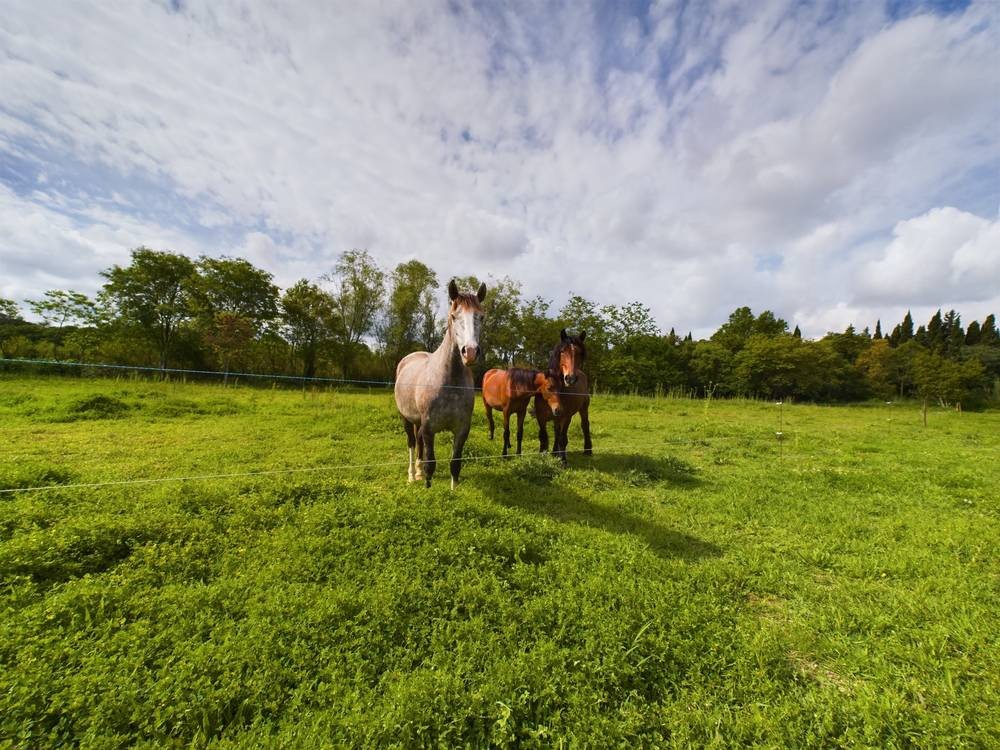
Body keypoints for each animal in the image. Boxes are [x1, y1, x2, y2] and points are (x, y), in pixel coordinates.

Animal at [392, 280, 486, 490]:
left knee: (418, 442)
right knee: (412, 443)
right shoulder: (429, 428)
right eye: (453, 316)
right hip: (406, 418)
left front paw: (453, 491)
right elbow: (431, 464)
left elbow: (455, 464)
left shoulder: (462, 429)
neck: (450, 384)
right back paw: (412, 476)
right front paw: (427, 488)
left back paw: (417, 473)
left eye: (481, 317)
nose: (470, 352)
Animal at [536, 328, 588, 464]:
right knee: (556, 431)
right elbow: (543, 437)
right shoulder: (541, 417)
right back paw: (554, 453)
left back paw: (588, 451)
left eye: (580, 353)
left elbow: (563, 438)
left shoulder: (566, 417)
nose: (570, 378)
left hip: (584, 408)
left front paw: (563, 461)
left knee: (585, 425)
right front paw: (542, 456)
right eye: (563, 351)